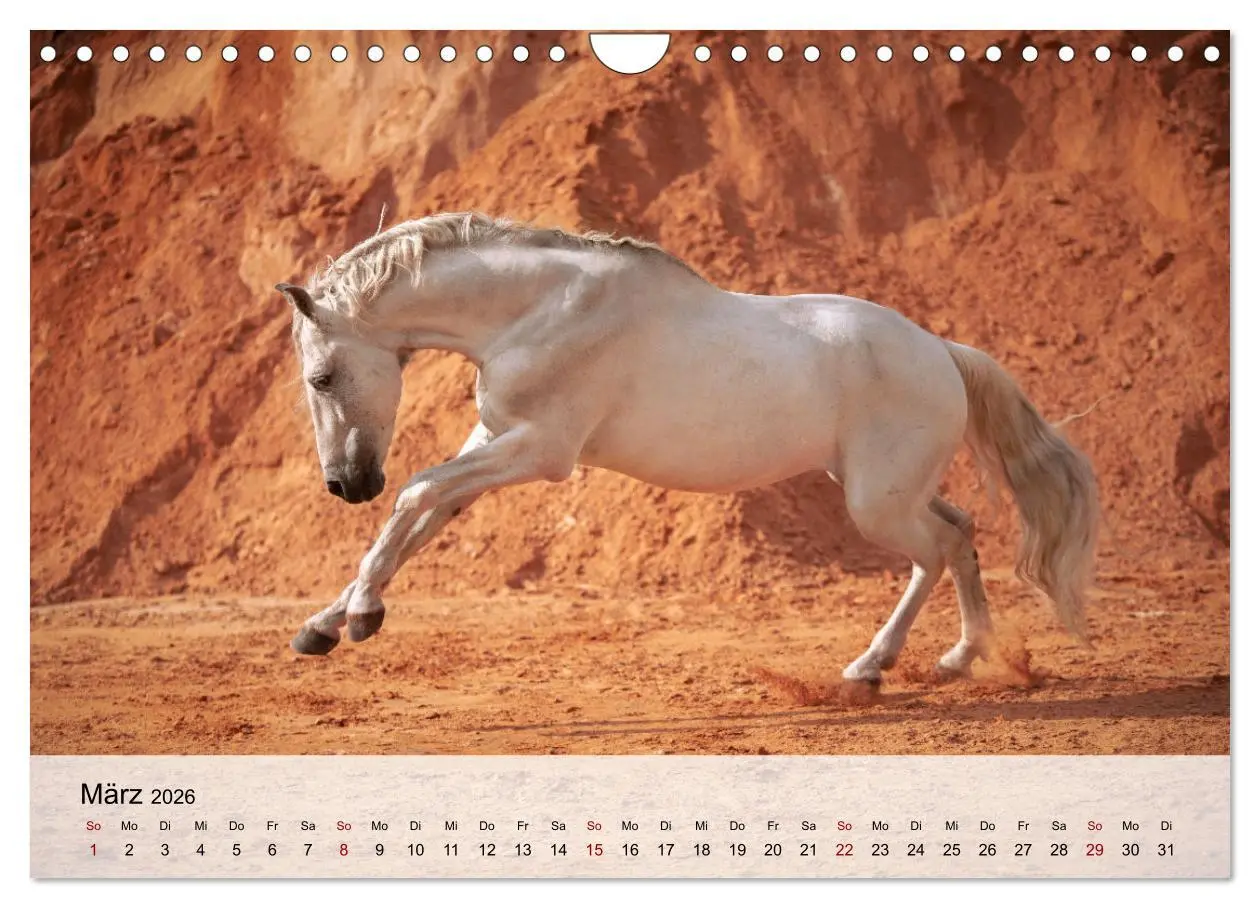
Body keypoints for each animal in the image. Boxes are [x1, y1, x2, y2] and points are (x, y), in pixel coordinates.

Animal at [275, 211, 1099, 686]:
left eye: (321, 376)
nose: (346, 483)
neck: (537, 309)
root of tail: (942, 351)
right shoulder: (494, 440)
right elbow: (418, 522)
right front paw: (322, 627)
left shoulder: (540, 451)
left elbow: (415, 492)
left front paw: (361, 618)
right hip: (887, 487)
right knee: (961, 533)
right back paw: (957, 658)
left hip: (878, 504)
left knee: (936, 551)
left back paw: (874, 665)